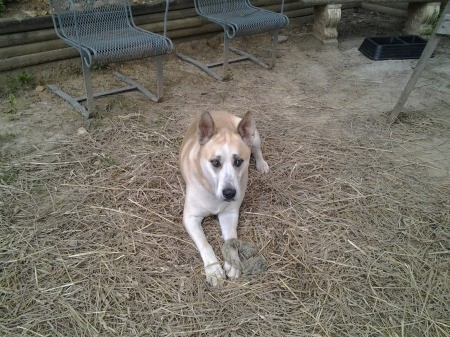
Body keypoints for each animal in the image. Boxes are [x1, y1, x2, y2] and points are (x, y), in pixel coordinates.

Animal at [181, 110, 268, 286]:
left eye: (238, 161)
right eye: (215, 162)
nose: (229, 193)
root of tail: (218, 111)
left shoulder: (229, 214)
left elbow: (231, 239)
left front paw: (233, 262)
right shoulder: (190, 217)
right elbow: (205, 243)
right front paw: (213, 269)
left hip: (254, 136)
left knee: (257, 150)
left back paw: (261, 163)